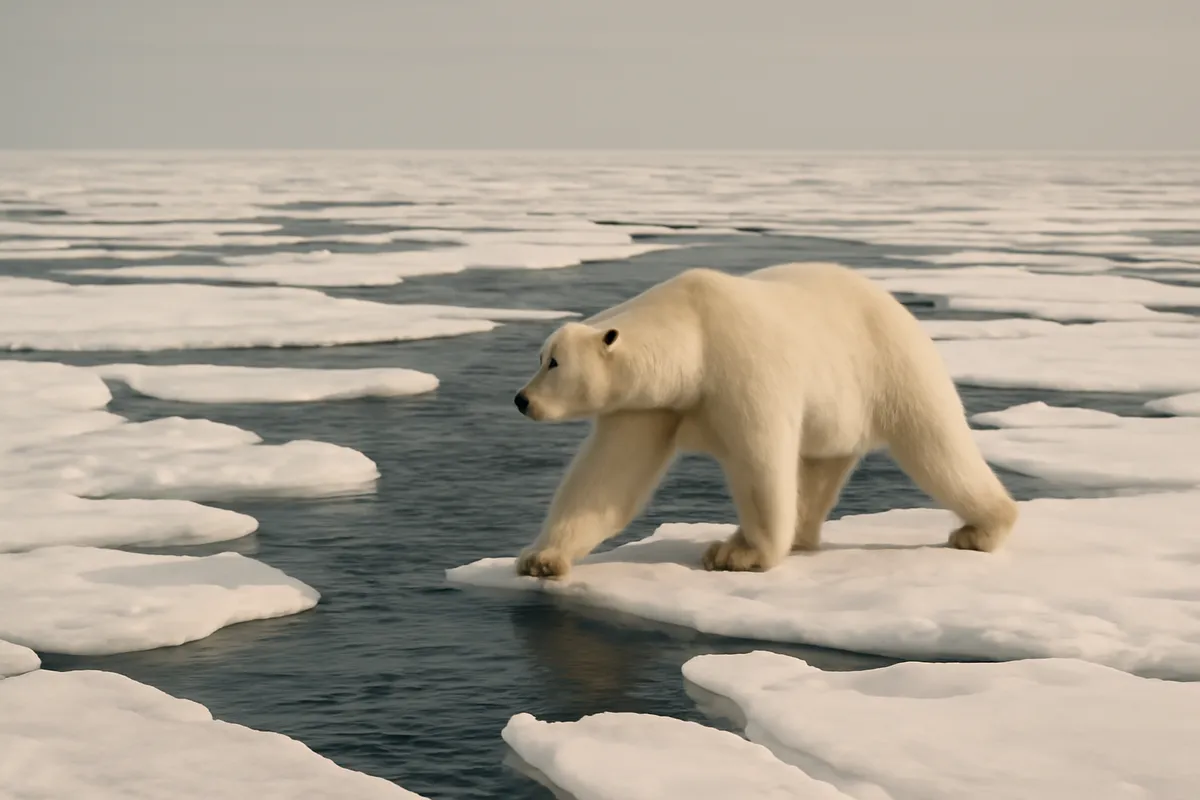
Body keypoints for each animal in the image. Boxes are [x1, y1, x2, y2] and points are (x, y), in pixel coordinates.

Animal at [512, 261, 1018, 580]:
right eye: (541, 356)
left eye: (554, 362)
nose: (521, 399)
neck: (695, 334)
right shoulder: (649, 406)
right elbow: (605, 480)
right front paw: (541, 558)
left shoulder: (743, 370)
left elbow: (760, 463)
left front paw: (739, 553)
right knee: (819, 469)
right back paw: (802, 536)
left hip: (891, 367)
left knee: (936, 447)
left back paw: (980, 528)